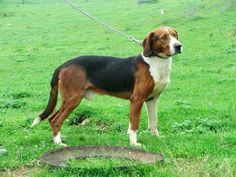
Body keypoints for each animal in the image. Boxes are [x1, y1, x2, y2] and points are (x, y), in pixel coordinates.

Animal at [31, 26, 183, 147]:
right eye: (163, 37)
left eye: (174, 34)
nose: (178, 46)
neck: (155, 63)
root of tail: (65, 64)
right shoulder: (137, 99)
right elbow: (135, 124)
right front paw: (134, 144)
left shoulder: (152, 100)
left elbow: (153, 122)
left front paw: (156, 138)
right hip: (73, 99)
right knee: (56, 120)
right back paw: (59, 143)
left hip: (68, 100)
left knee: (51, 118)